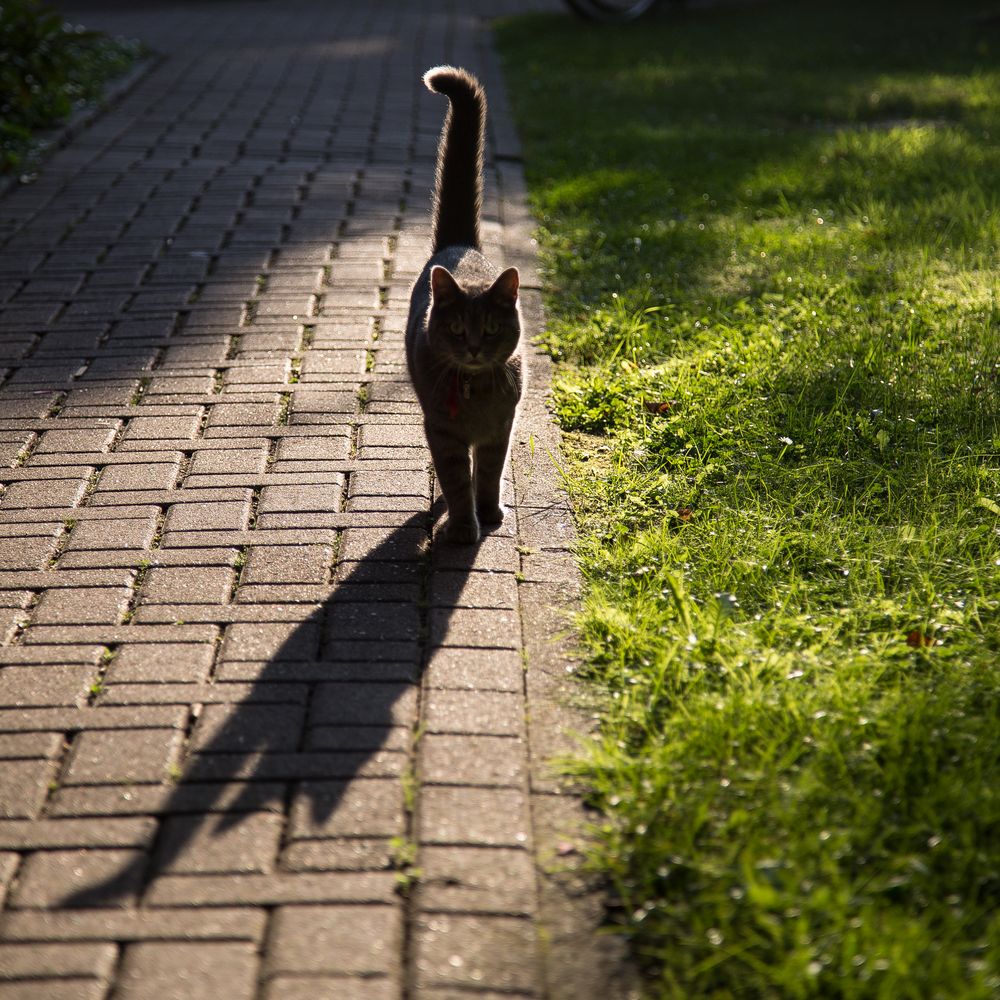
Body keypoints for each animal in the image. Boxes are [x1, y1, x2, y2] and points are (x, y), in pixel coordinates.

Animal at [404, 65, 528, 544]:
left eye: (491, 328)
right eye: (457, 329)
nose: (474, 348)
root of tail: (459, 245)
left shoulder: (501, 429)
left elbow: (490, 473)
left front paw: (489, 512)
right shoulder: (442, 432)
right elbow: (456, 479)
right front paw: (462, 527)